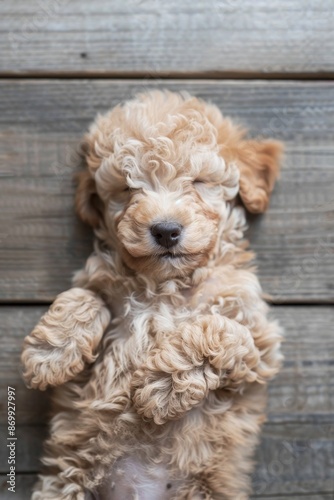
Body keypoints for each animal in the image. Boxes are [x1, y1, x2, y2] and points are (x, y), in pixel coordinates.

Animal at [20, 91, 284, 500]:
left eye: (199, 181)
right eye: (127, 188)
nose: (166, 230)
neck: (165, 285)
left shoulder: (261, 344)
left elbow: (220, 329)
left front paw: (161, 385)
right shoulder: (101, 280)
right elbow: (85, 296)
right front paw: (50, 353)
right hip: (65, 483)